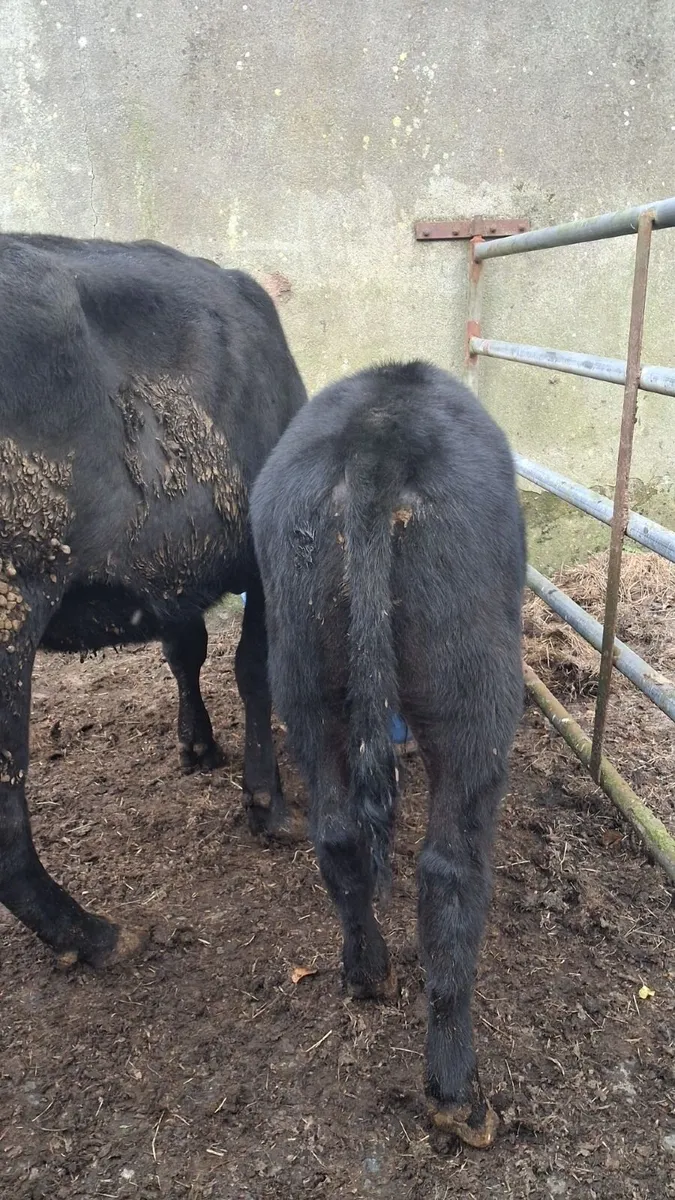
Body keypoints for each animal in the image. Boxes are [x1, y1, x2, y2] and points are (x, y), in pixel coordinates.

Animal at [0, 233, 306, 969]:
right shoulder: (262, 554)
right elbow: (253, 671)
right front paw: (268, 804)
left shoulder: (169, 568)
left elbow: (184, 649)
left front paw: (197, 746)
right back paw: (93, 934)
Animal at [250, 361, 525, 1147]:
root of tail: (377, 433)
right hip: (476, 698)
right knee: (449, 874)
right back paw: (457, 1093)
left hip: (305, 680)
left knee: (338, 834)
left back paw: (367, 973)